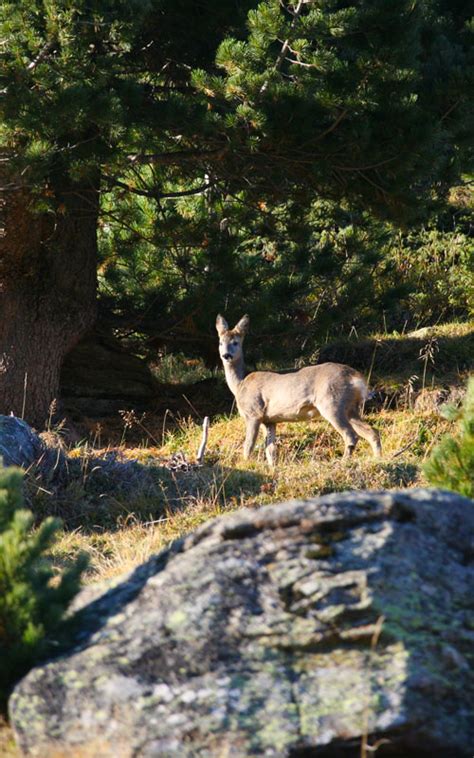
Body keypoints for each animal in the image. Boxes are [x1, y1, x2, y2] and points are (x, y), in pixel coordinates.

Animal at [218, 312, 382, 466]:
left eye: (235, 342)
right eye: (220, 342)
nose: (226, 355)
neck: (240, 384)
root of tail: (356, 378)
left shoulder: (254, 412)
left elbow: (248, 446)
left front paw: (245, 464)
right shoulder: (270, 420)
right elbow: (271, 450)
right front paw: (273, 468)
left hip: (332, 402)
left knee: (351, 435)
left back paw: (343, 461)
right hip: (350, 408)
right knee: (372, 431)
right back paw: (378, 458)